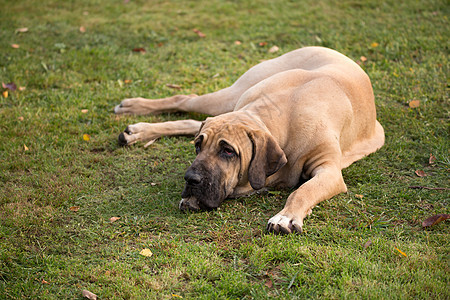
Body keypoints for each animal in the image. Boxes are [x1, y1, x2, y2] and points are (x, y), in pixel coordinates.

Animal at [114, 47, 384, 234]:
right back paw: (134, 114)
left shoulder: (329, 170)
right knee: (185, 100)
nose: (190, 179)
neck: (282, 115)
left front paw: (286, 217)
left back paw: (137, 131)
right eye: (198, 147)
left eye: (228, 151)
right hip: (231, 95)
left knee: (190, 119)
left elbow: (303, 190)